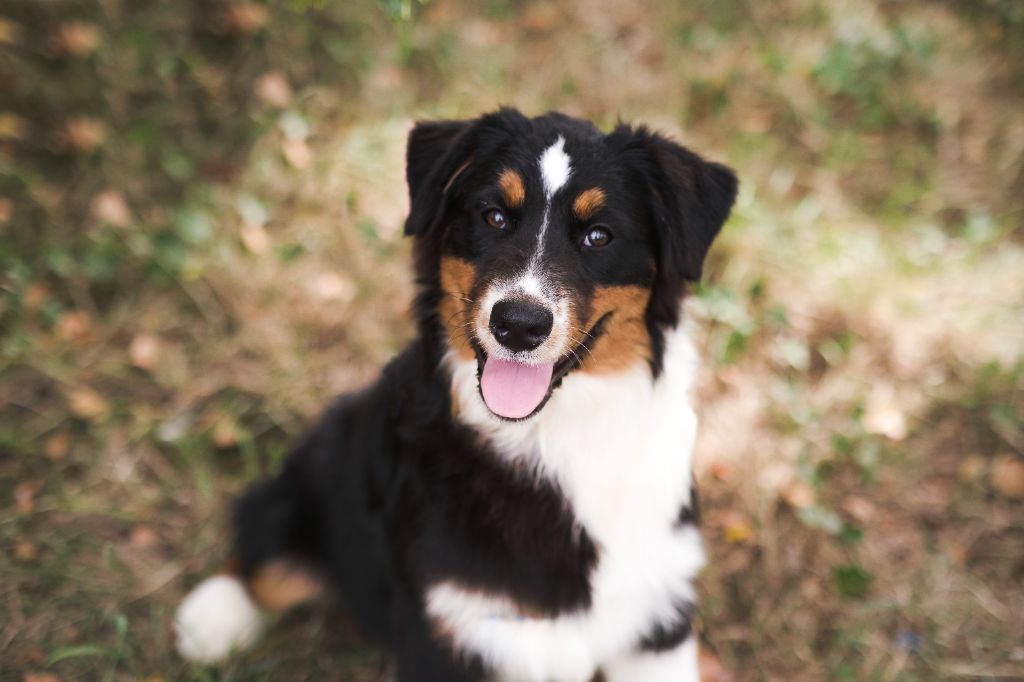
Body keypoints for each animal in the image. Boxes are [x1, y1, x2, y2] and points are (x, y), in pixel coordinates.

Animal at [174, 109, 737, 675]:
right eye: (494, 217)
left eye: (599, 236)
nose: (519, 325)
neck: (554, 437)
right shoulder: (449, 627)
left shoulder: (657, 615)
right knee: (267, 533)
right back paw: (211, 617)